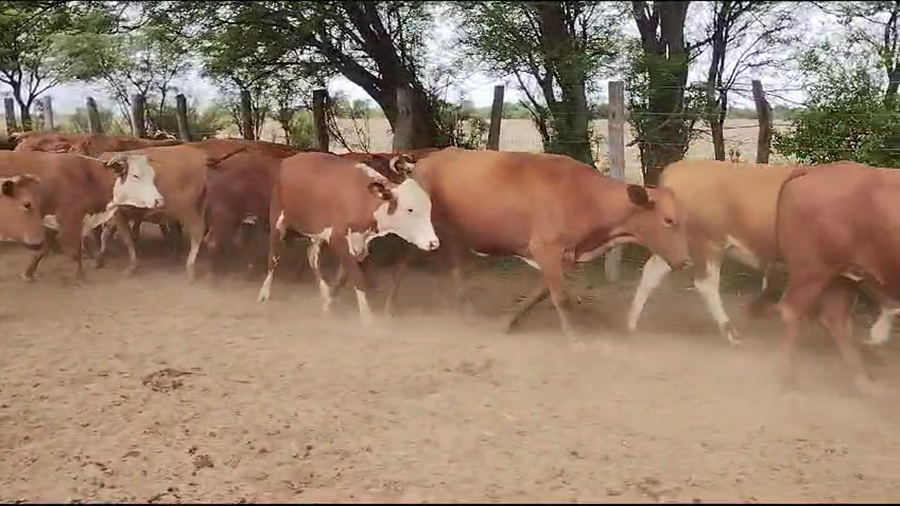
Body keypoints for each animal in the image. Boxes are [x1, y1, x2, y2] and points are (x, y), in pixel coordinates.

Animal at [0, 151, 165, 280]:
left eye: (152, 175)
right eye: (135, 176)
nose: (160, 200)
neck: (87, 178)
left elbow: (44, 248)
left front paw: (27, 273)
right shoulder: (69, 222)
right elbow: (75, 251)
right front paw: (81, 277)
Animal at [256, 151, 440, 324]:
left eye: (428, 208)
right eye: (410, 209)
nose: (433, 243)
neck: (363, 199)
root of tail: (290, 160)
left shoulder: (359, 244)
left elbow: (343, 277)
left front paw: (330, 301)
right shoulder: (338, 238)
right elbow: (357, 278)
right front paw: (367, 318)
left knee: (312, 256)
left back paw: (324, 293)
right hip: (278, 220)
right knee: (273, 257)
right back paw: (264, 293)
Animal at [379, 147, 692, 335]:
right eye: (668, 220)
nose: (686, 261)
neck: (586, 197)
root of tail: (423, 161)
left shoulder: (565, 256)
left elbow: (542, 293)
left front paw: (506, 322)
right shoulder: (546, 247)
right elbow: (561, 298)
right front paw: (577, 339)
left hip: (453, 233)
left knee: (452, 267)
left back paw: (462, 309)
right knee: (402, 264)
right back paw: (389, 309)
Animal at [773, 161, 900, 396]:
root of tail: (816, 170)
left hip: (842, 278)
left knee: (836, 321)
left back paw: (865, 383)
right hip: (813, 272)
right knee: (793, 313)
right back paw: (789, 380)